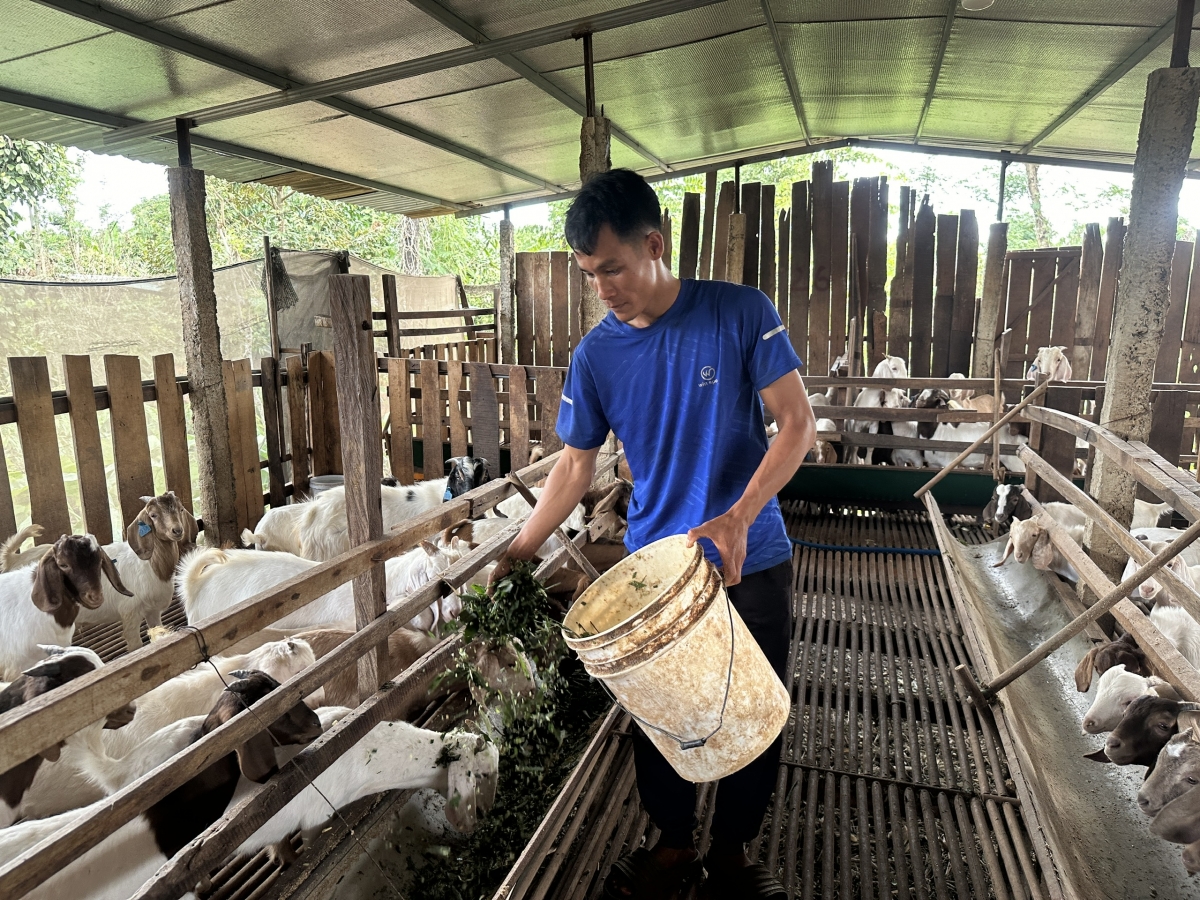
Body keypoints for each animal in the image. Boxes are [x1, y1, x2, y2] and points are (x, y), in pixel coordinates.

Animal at [73, 489, 196, 652]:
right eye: (153, 515)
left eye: (181, 509)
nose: (177, 530)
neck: (152, 568)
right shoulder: (130, 613)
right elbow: (135, 646)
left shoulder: (153, 611)